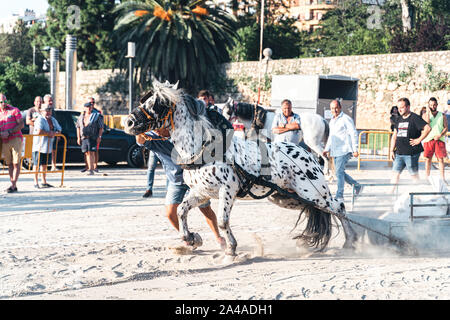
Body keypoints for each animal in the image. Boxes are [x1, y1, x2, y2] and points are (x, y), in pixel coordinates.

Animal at [125, 80, 356, 258]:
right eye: (145, 101)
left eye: (160, 104)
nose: (128, 122)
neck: (204, 148)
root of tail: (306, 154)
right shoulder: (201, 192)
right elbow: (182, 210)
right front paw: (191, 238)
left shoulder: (227, 190)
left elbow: (222, 221)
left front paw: (231, 249)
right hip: (288, 198)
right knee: (324, 210)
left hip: (314, 193)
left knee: (339, 207)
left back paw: (351, 241)